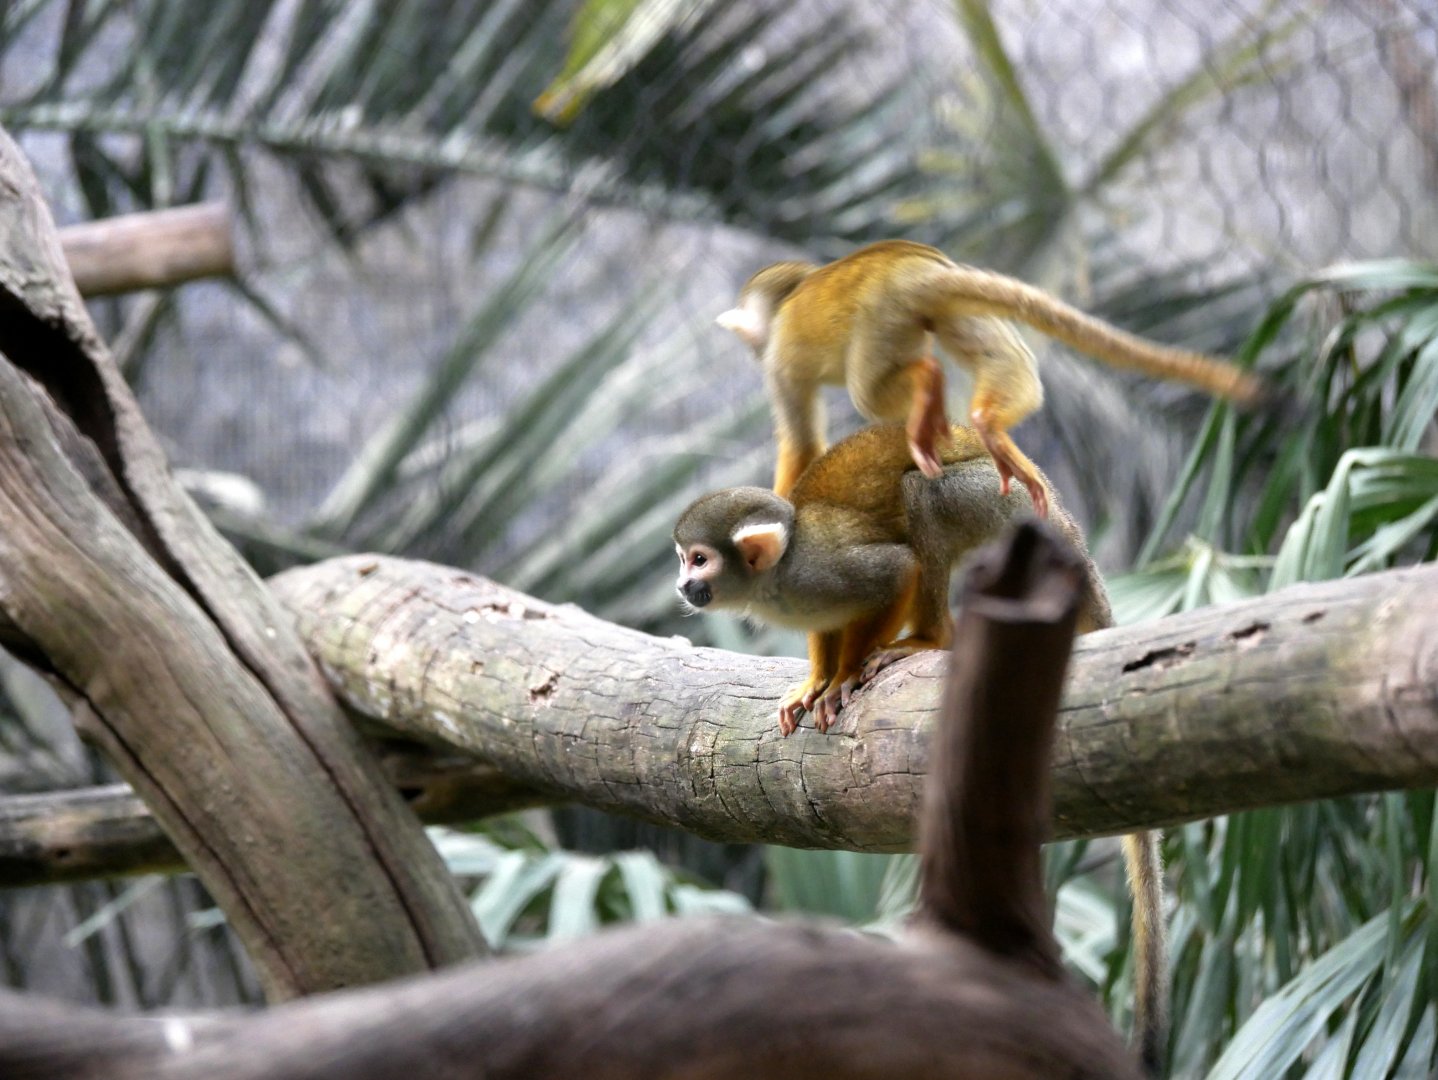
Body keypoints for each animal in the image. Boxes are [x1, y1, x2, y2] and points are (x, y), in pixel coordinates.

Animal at [672, 421, 1166, 1072]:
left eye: (700, 559)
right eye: (683, 560)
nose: (682, 584)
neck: (775, 579)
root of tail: (1061, 519)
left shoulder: (820, 573)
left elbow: (895, 570)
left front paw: (844, 679)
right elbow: (828, 626)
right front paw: (816, 681)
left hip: (998, 503)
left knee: (923, 497)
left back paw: (930, 638)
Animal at [717, 239, 1263, 518]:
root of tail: (907, 263)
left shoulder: (778, 362)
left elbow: (801, 442)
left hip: (881, 315)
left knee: (870, 391)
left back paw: (927, 393)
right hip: (939, 303)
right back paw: (984, 424)